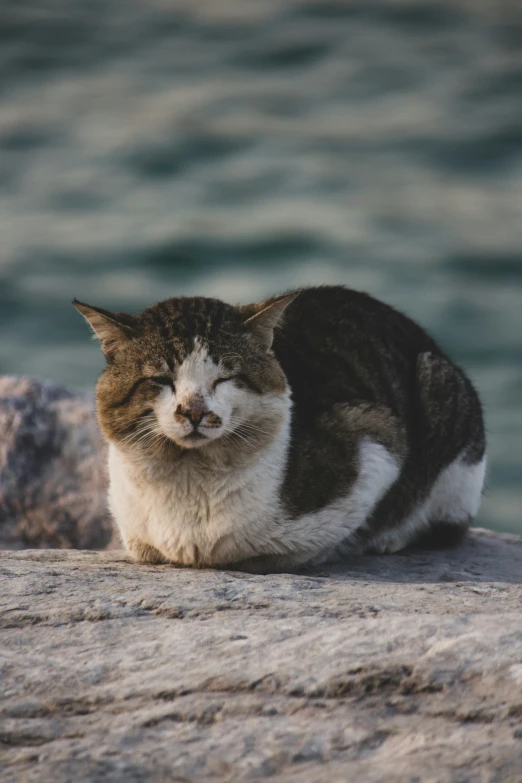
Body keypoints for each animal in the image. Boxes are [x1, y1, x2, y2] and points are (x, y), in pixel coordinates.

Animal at [73, 284, 484, 572]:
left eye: (224, 378)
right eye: (160, 380)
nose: (193, 412)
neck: (189, 478)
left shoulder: (377, 438)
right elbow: (145, 548)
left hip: (442, 391)